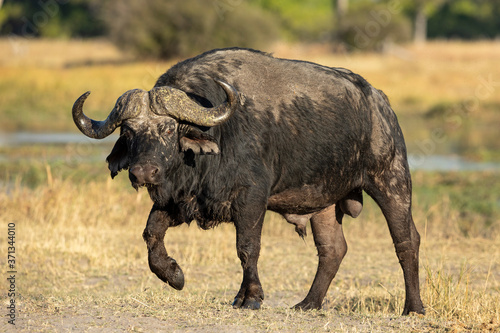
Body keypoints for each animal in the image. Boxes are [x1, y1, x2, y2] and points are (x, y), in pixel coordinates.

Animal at [73, 47, 426, 314]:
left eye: (169, 128)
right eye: (129, 132)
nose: (143, 173)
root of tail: (380, 103)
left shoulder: (251, 198)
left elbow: (247, 247)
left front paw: (250, 297)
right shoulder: (180, 201)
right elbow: (151, 235)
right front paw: (174, 275)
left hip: (392, 181)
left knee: (407, 241)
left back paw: (413, 307)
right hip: (323, 202)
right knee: (332, 249)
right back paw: (308, 303)